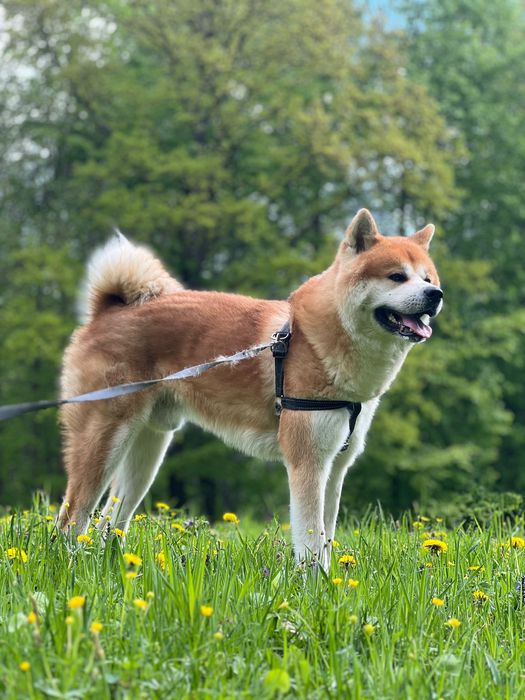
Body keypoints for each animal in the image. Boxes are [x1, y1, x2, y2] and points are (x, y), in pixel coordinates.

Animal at [58, 209, 442, 568]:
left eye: (427, 278)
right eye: (397, 276)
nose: (435, 294)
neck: (320, 341)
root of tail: (109, 310)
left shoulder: (336, 467)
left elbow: (326, 540)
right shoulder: (308, 463)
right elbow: (311, 544)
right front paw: (314, 589)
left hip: (147, 449)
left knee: (110, 521)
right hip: (103, 440)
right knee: (72, 518)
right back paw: (69, 566)